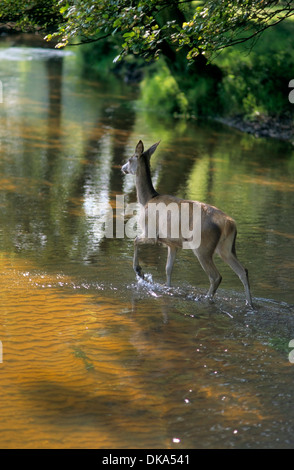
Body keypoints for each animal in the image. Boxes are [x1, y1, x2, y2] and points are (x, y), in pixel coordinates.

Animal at [121, 140, 253, 308]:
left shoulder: (152, 233)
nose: (122, 167)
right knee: (243, 271)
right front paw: (167, 288)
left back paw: (206, 299)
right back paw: (249, 304)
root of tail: (229, 224)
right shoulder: (172, 243)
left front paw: (139, 271)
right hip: (226, 248)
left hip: (203, 246)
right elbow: (168, 268)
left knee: (216, 276)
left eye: (130, 158)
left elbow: (135, 240)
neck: (147, 199)